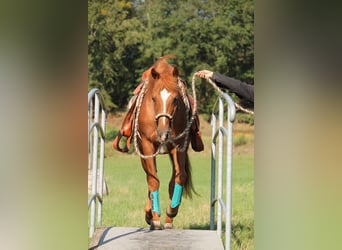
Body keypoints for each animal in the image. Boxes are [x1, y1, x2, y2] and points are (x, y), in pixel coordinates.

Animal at [132, 55, 195, 229]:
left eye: (175, 99)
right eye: (153, 99)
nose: (163, 134)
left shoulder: (179, 146)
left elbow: (179, 178)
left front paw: (170, 213)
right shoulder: (147, 147)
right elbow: (153, 181)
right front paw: (154, 217)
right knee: (150, 178)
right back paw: (150, 214)